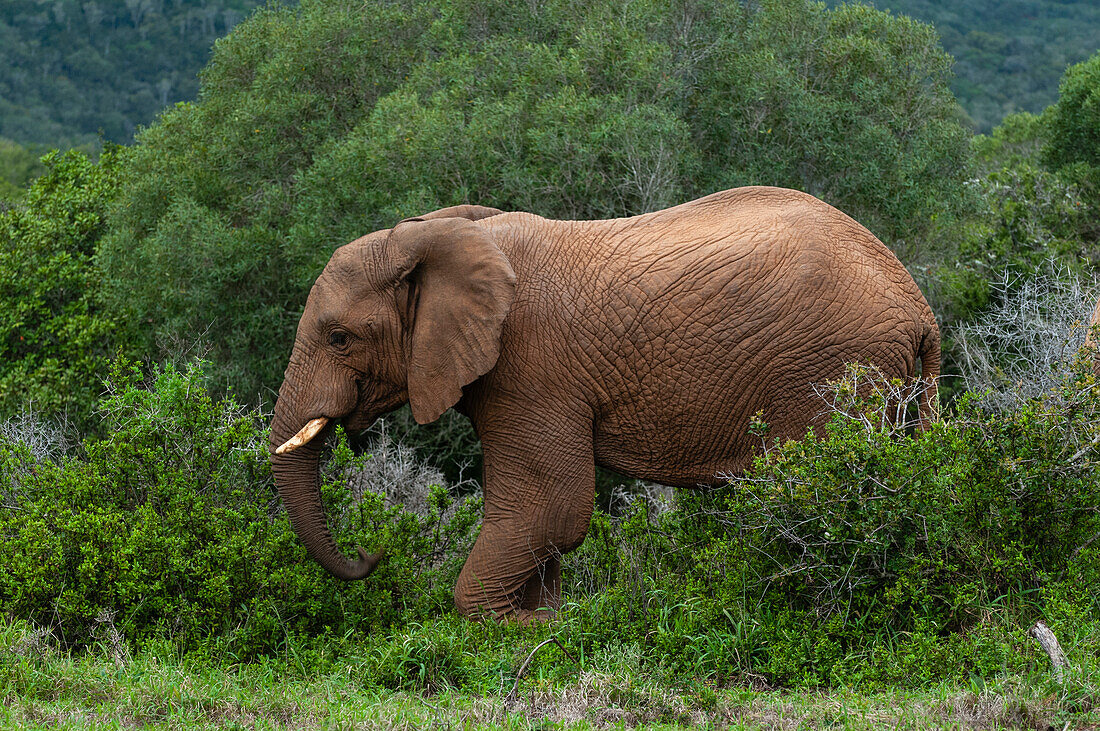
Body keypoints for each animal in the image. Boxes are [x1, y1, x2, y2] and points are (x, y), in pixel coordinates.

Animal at [266, 186, 937, 615]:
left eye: (339, 337)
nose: (372, 552)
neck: (440, 238)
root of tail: (918, 306)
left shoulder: (531, 367)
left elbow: (551, 508)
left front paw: (517, 627)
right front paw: (544, 619)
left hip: (832, 370)